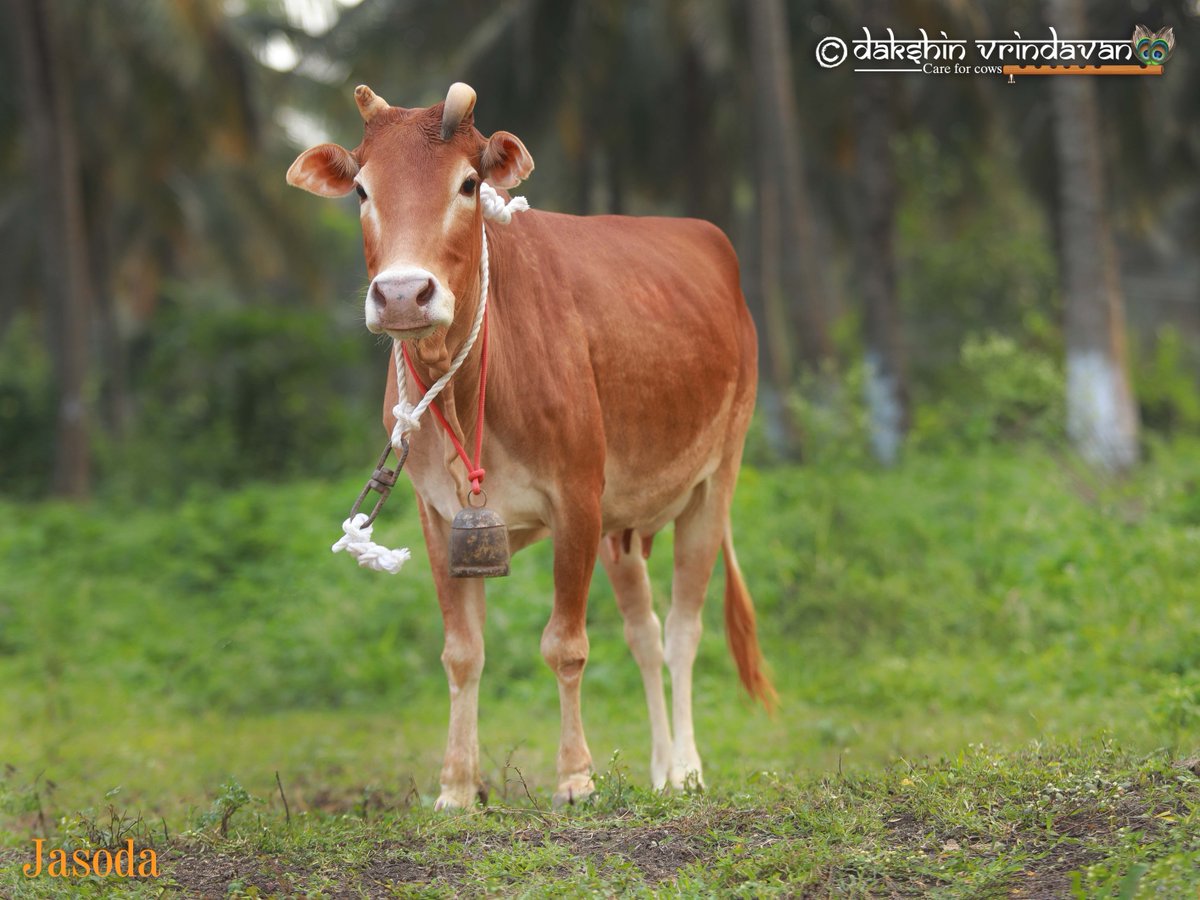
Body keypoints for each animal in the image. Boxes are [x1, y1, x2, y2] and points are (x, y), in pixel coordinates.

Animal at [287, 82, 774, 810]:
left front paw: (575, 777)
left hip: (716, 479)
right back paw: (661, 769)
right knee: (646, 632)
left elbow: (565, 645)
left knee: (685, 629)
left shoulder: (576, 499)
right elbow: (462, 651)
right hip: (623, 524)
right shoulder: (440, 515)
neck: (465, 392)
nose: (402, 294)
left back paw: (687, 769)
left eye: (468, 184)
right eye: (363, 192)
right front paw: (457, 788)